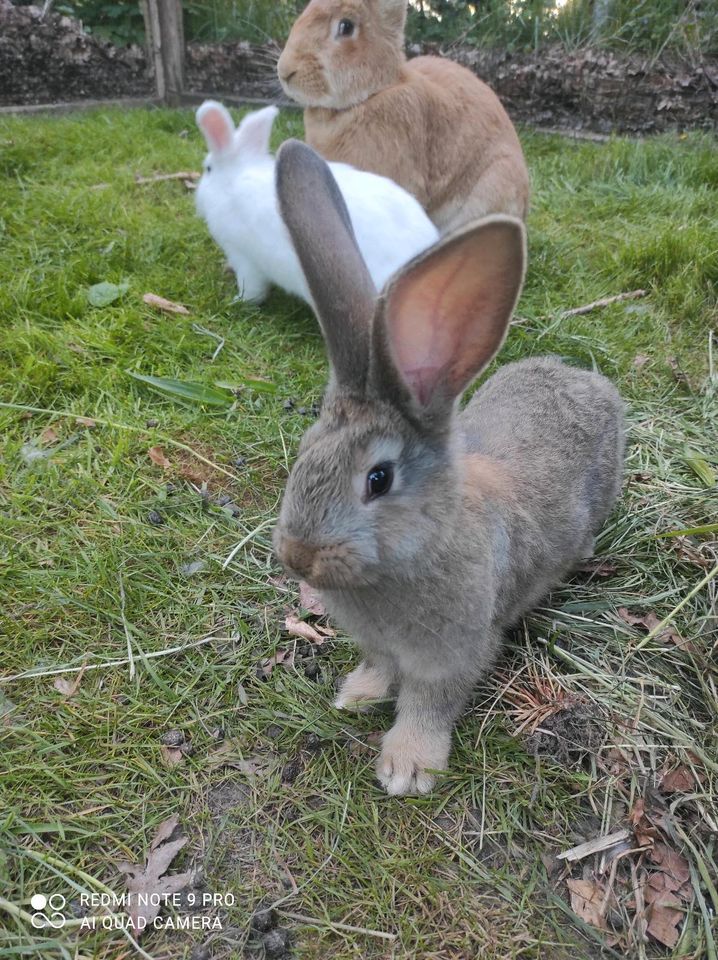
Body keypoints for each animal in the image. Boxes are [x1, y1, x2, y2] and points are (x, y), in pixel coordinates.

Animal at [194, 101, 438, 304]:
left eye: (208, 169)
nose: (198, 201)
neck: (232, 180)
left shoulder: (246, 258)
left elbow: (253, 290)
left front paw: (238, 301)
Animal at [272, 137, 624, 796]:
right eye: (305, 450)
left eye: (378, 479)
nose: (298, 556)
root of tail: (586, 380)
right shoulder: (381, 645)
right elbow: (380, 669)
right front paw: (356, 695)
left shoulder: (451, 656)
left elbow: (427, 704)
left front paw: (408, 767)